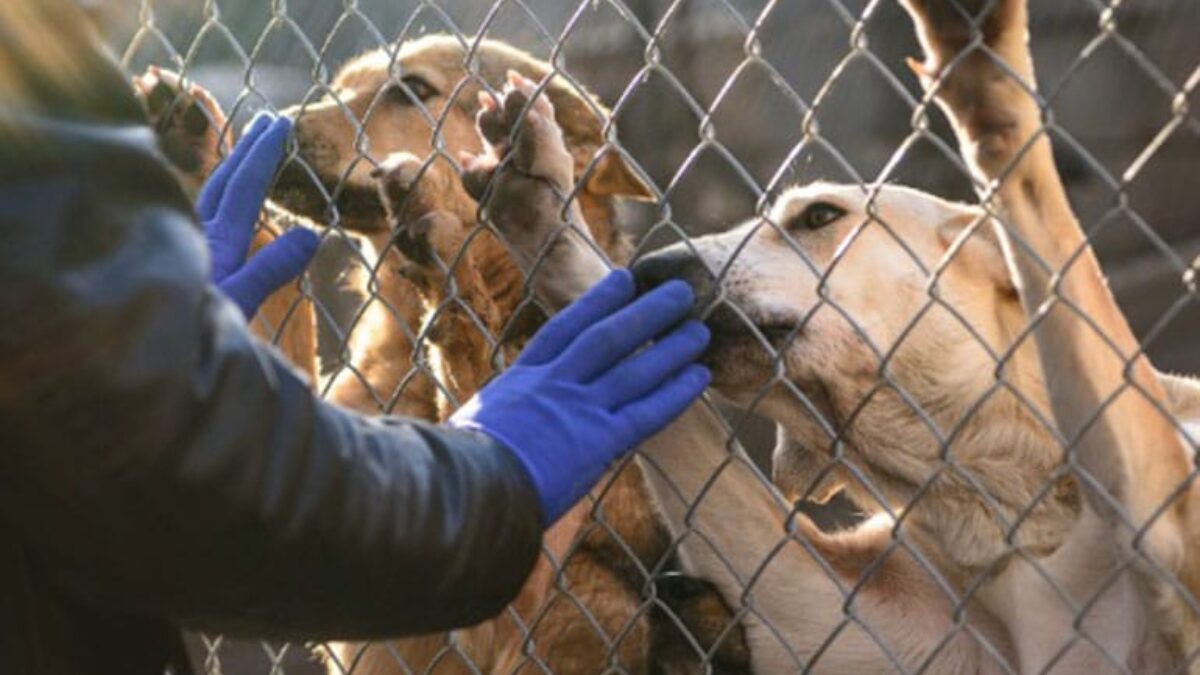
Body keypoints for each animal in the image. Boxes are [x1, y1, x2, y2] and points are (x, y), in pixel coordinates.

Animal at [456, 0, 1200, 667]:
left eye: (818, 215)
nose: (650, 273)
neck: (1001, 504)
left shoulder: (1167, 519)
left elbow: (1054, 236)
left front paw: (986, 79)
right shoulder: (831, 612)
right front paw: (539, 207)